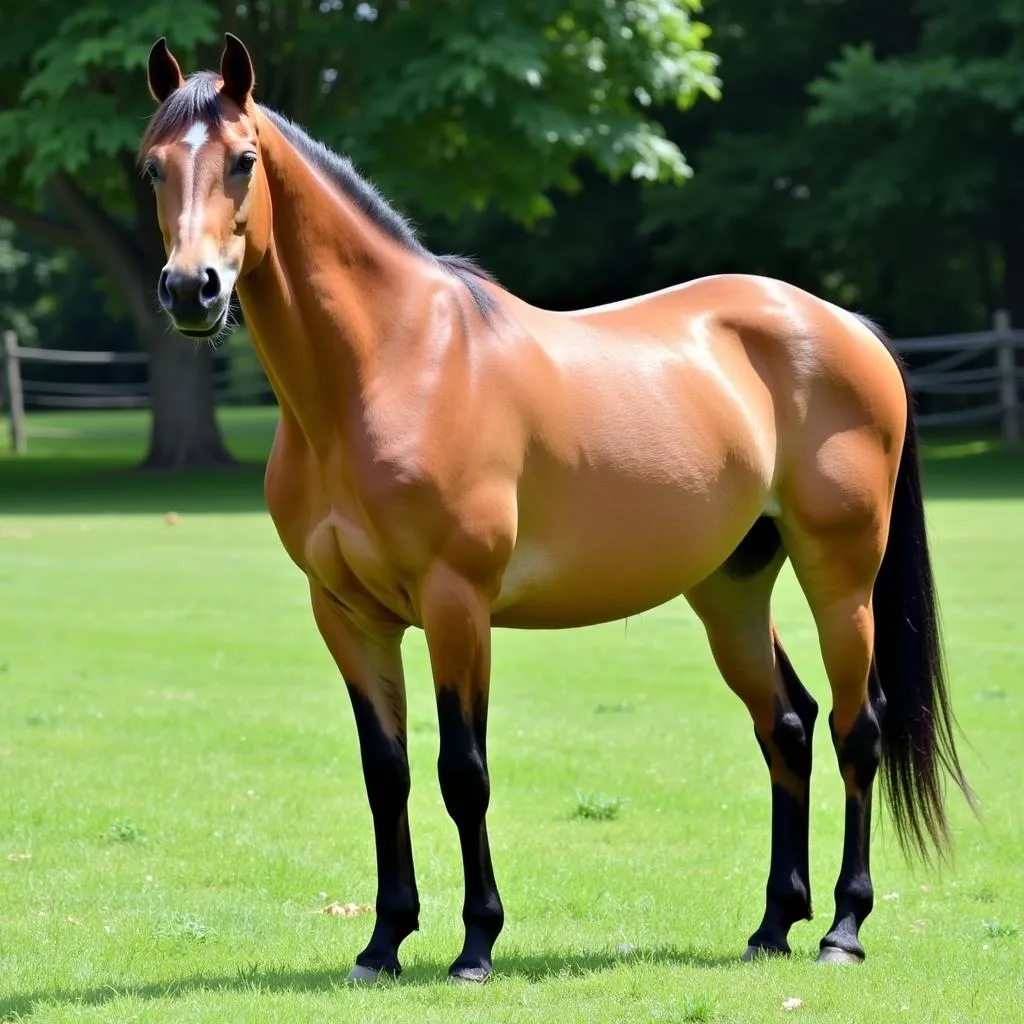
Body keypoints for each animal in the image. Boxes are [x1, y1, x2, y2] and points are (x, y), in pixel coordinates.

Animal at [140, 36, 970, 983]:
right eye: (152, 167)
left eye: (243, 160)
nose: (192, 291)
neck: (393, 365)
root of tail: (845, 325)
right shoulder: (347, 614)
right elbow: (386, 773)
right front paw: (383, 942)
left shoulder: (457, 604)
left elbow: (463, 772)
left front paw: (475, 945)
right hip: (731, 588)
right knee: (786, 726)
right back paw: (771, 926)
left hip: (841, 576)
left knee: (854, 728)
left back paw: (842, 929)